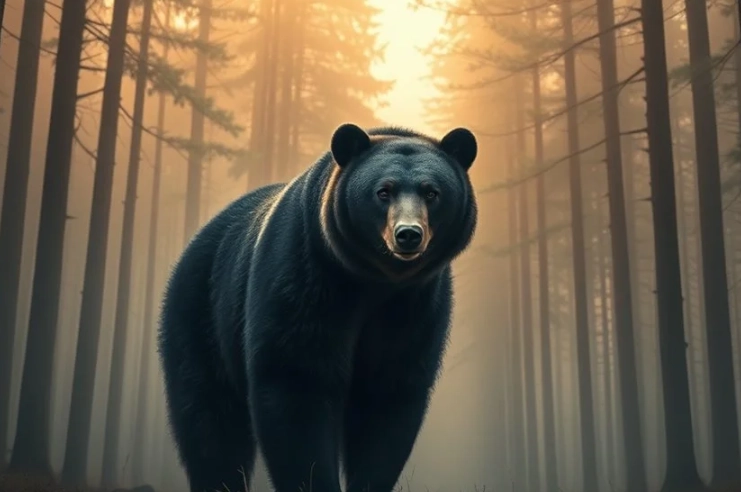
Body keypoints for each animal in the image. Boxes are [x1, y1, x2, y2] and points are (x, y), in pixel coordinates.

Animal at [157, 123, 478, 492]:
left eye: (432, 192)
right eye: (383, 191)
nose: (408, 234)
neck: (374, 281)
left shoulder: (416, 305)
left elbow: (389, 396)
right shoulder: (305, 277)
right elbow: (297, 382)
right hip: (201, 313)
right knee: (209, 419)